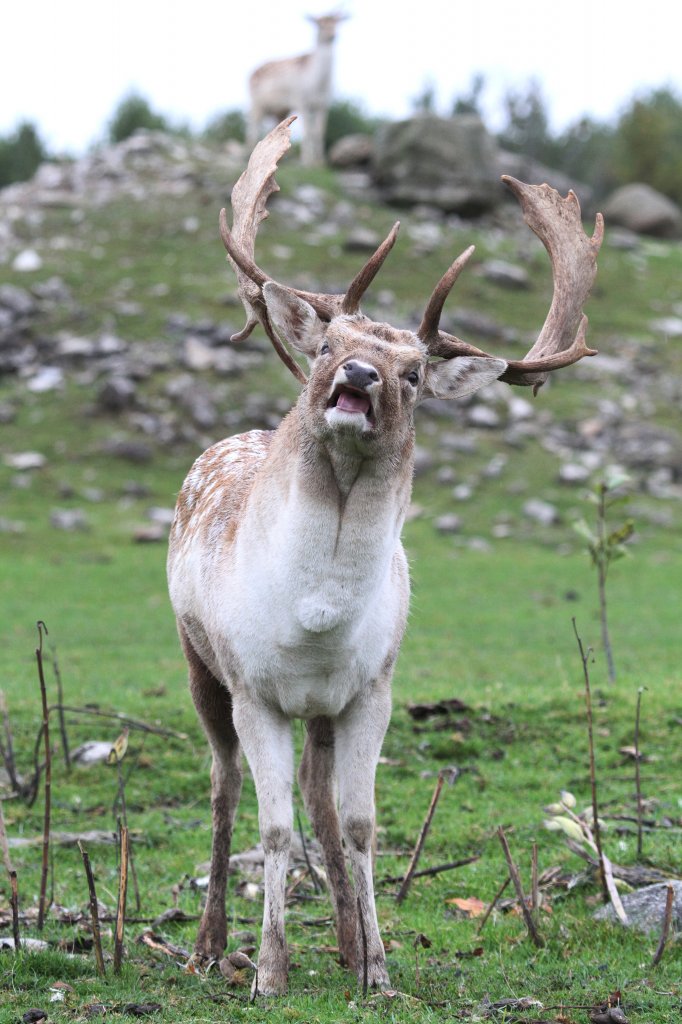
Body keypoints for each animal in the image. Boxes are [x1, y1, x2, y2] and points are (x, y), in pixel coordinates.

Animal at [165, 117, 602, 991]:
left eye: (415, 370)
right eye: (328, 341)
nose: (361, 375)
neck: (314, 621)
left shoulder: (374, 688)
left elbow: (363, 823)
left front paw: (377, 967)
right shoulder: (255, 689)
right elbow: (272, 830)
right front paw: (270, 973)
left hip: (323, 711)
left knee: (320, 797)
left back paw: (342, 941)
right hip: (200, 664)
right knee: (224, 788)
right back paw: (206, 948)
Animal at [244, 12, 346, 165]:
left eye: (336, 23)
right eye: (320, 25)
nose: (332, 35)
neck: (318, 84)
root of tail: (250, 75)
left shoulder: (323, 104)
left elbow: (319, 131)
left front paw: (320, 161)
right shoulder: (300, 101)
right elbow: (307, 132)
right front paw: (307, 161)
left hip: (280, 111)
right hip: (256, 104)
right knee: (253, 125)